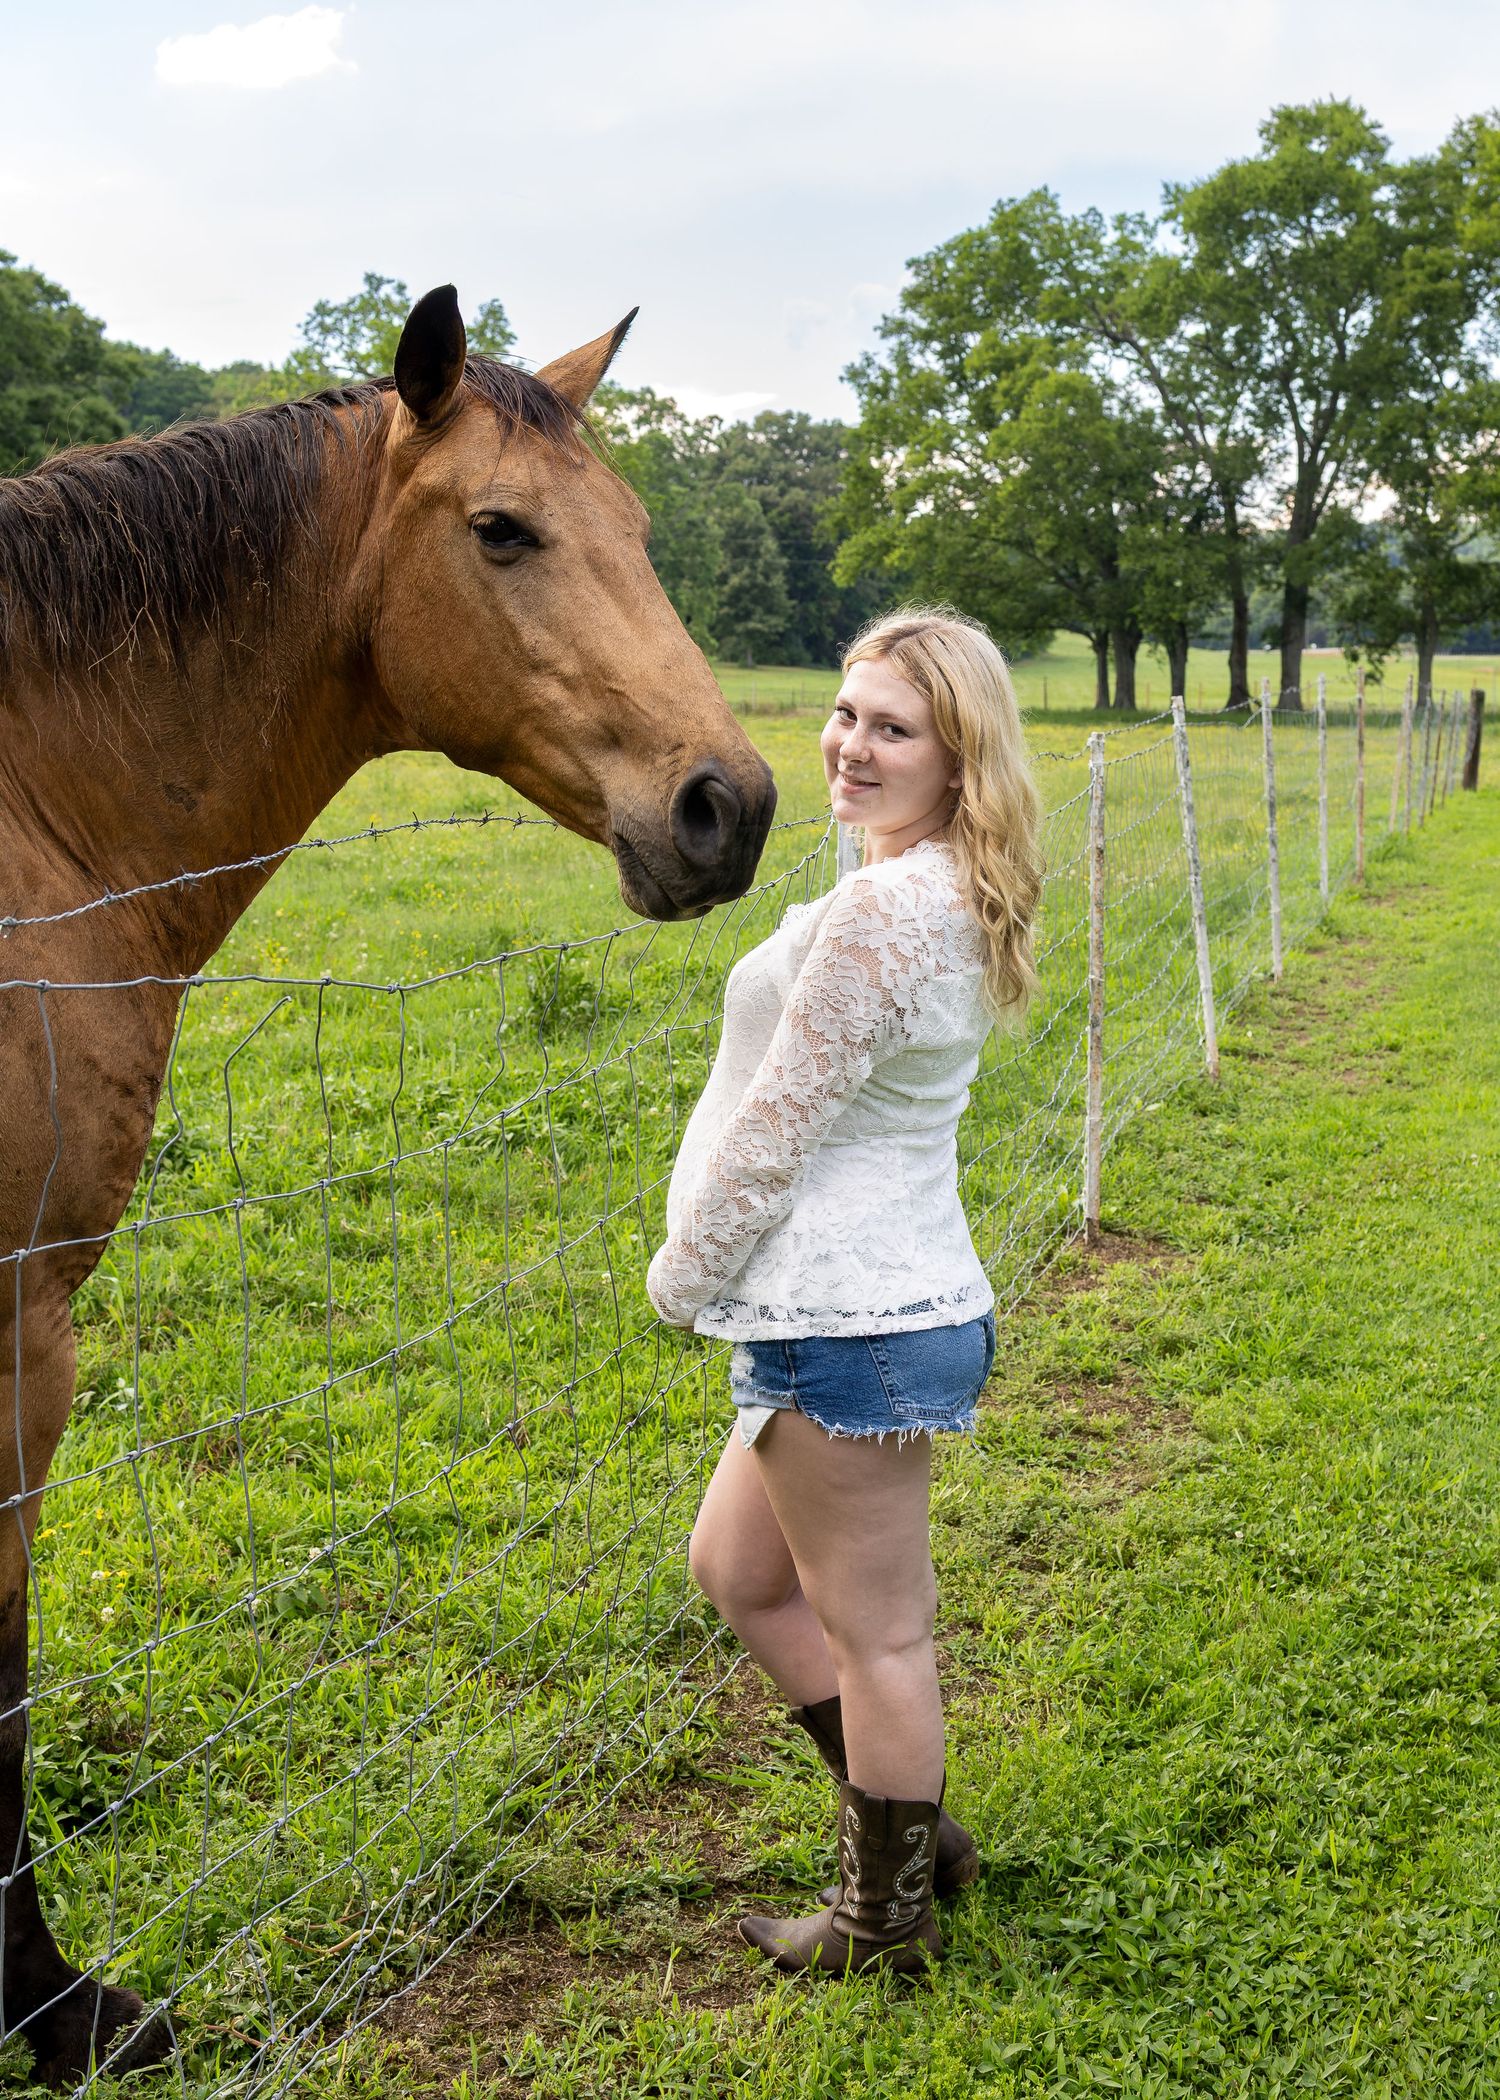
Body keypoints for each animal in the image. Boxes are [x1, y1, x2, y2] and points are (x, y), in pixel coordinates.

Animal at [0, 284, 776, 2085]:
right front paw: (60, 2011)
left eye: (643, 531)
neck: (31, 820)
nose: (734, 803)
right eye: (501, 531)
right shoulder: (23, 1333)